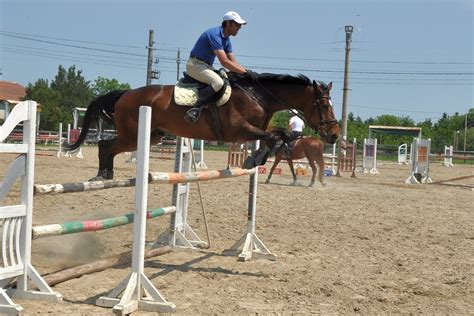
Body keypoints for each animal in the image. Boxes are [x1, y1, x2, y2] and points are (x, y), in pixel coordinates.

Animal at [65, 72, 338, 179]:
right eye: (324, 105)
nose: (335, 135)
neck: (258, 96)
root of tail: (125, 94)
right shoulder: (237, 130)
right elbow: (275, 136)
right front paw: (254, 159)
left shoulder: (255, 129)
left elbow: (277, 135)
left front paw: (258, 157)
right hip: (133, 135)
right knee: (105, 144)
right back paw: (102, 174)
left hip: (152, 136)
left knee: (109, 146)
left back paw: (106, 174)